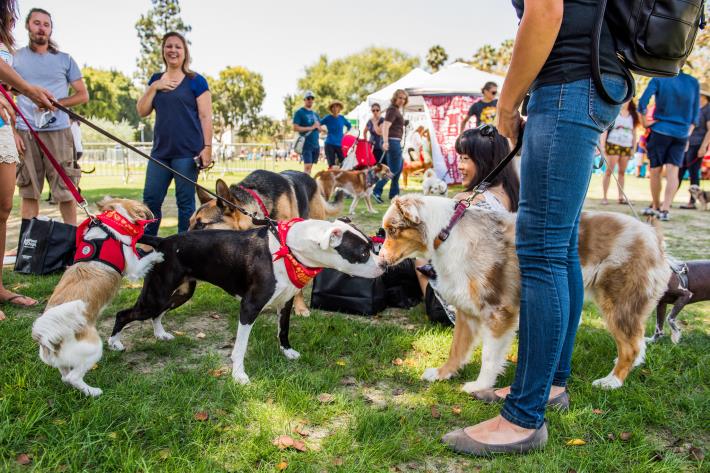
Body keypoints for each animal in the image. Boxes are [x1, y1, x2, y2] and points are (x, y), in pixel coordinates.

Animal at [32, 195, 164, 394]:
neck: (111, 225)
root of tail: (48, 337)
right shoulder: (133, 267)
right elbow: (146, 258)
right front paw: (158, 254)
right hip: (93, 350)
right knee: (73, 377)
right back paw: (93, 392)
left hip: (62, 361)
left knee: (65, 376)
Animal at [378, 194, 672, 390]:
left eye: (393, 230)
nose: (380, 263)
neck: (446, 233)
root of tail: (653, 236)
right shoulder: (466, 311)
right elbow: (457, 349)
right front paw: (442, 373)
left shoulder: (498, 311)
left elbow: (488, 357)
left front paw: (479, 386)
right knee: (636, 342)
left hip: (618, 303)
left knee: (631, 345)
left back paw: (612, 381)